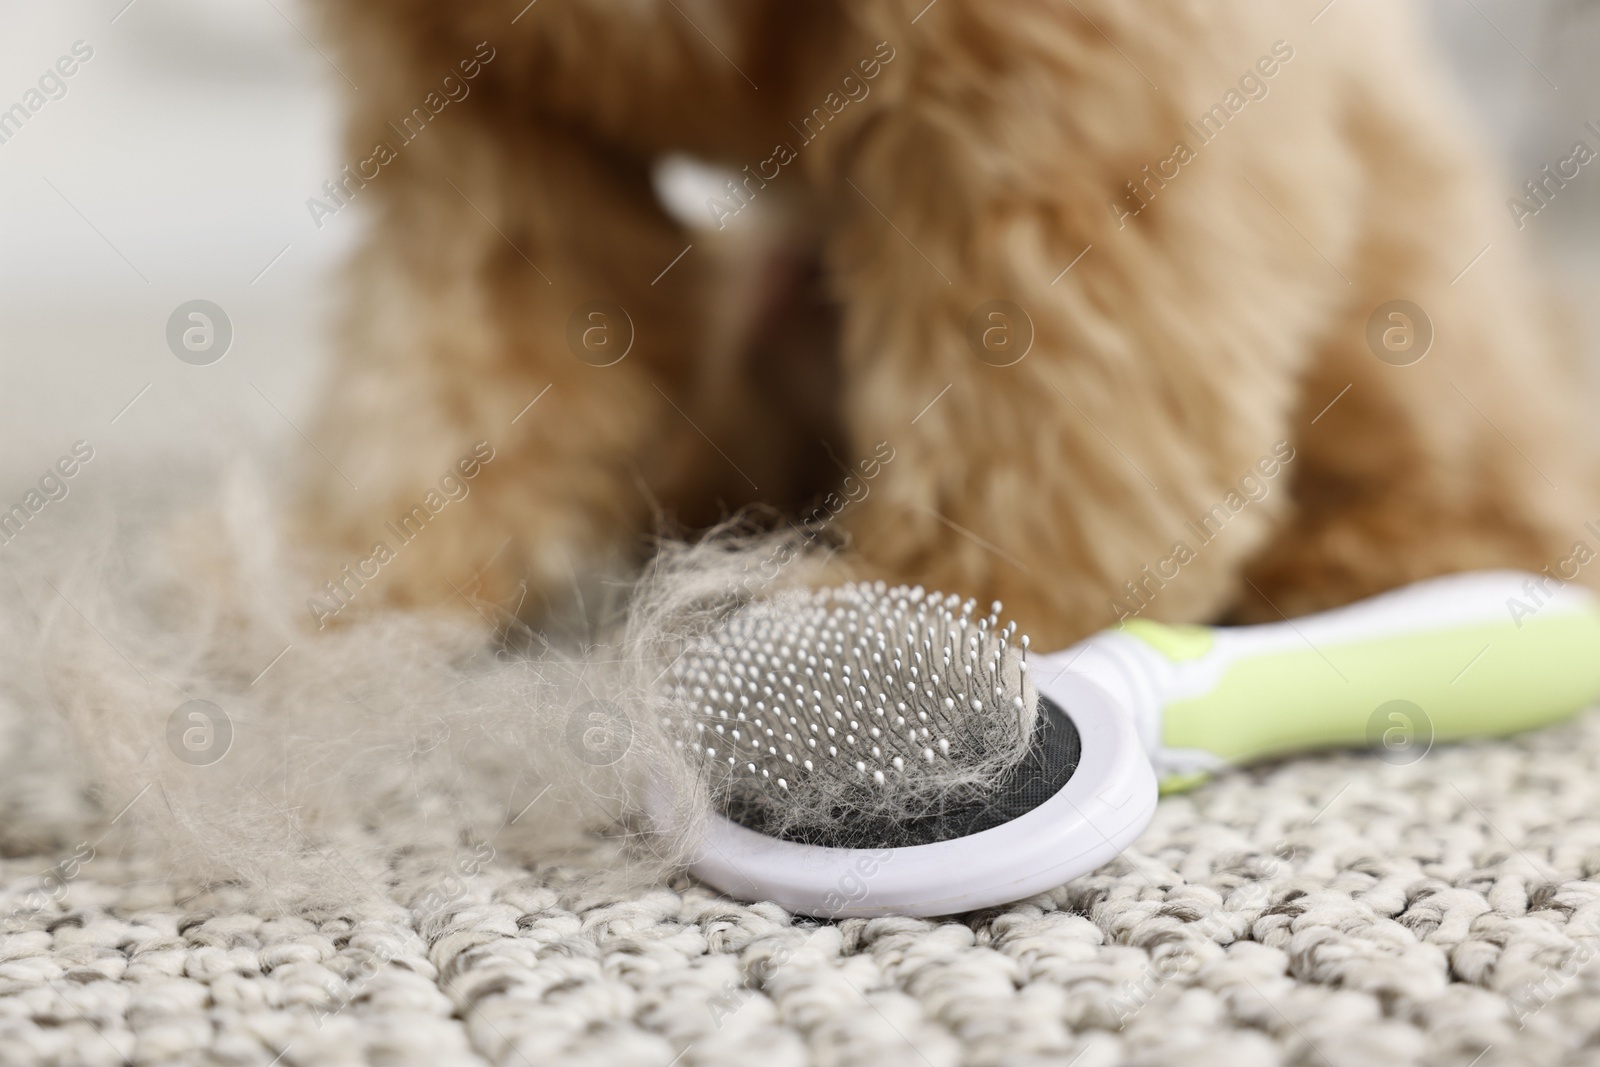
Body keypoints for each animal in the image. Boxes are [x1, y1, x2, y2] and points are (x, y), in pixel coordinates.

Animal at [294, 0, 1593, 652]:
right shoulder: (473, 113)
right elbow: (453, 355)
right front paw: (373, 585)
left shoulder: (1047, 70)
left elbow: (1028, 369)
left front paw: (945, 602)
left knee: (1508, 483)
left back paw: (1363, 556)